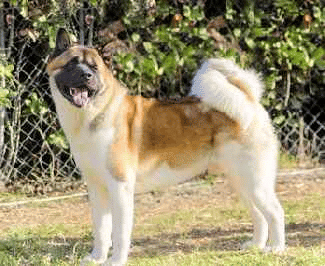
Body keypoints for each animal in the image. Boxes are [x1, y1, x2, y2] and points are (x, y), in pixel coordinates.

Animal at [45, 28, 284, 264]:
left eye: (94, 68)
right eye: (71, 64)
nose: (86, 76)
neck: (95, 113)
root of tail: (249, 101)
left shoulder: (120, 188)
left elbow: (120, 233)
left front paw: (116, 261)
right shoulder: (97, 189)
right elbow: (102, 230)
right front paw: (97, 258)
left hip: (255, 181)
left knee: (275, 212)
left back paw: (276, 248)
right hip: (241, 183)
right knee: (259, 214)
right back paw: (256, 245)